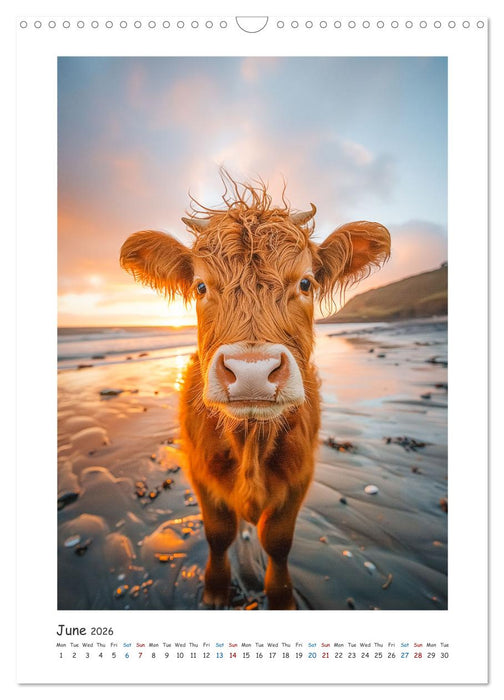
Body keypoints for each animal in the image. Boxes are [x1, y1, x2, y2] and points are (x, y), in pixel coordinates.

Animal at [120, 176, 390, 609]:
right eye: (200, 286)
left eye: (305, 282)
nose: (252, 372)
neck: (250, 438)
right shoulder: (200, 471)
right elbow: (218, 534)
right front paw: (215, 589)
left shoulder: (299, 475)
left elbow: (278, 541)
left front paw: (280, 598)